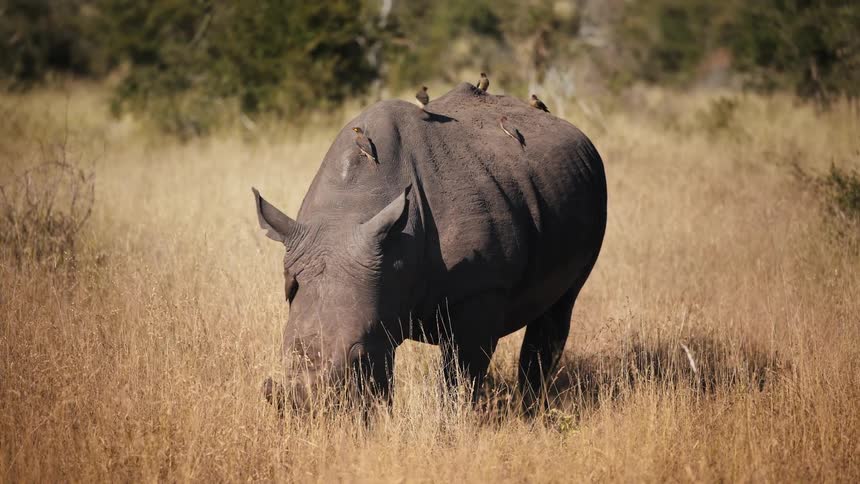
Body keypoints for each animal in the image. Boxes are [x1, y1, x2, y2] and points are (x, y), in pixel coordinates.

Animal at [254, 83, 607, 413]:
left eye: (358, 357)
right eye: (284, 351)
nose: (306, 408)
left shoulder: (481, 289)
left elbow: (461, 374)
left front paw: (453, 425)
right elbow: (383, 376)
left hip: (595, 183)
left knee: (561, 305)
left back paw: (532, 410)